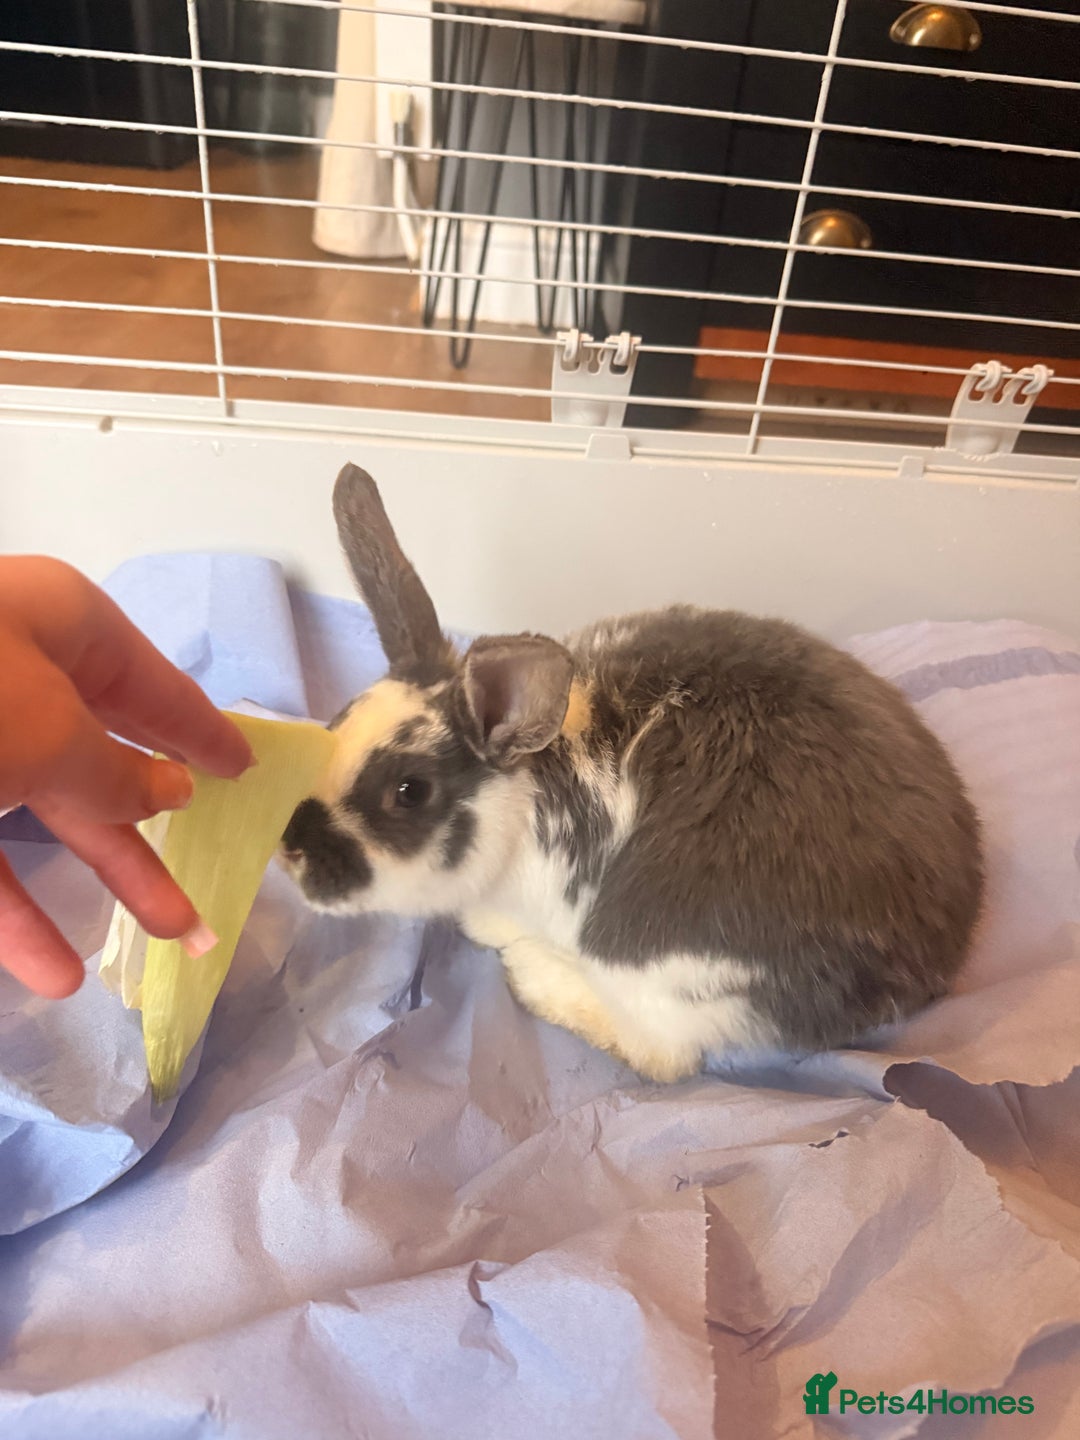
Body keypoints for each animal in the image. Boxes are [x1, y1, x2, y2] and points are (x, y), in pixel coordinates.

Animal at [281, 463, 984, 1083]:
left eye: (408, 792)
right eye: (335, 724)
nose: (291, 851)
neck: (526, 794)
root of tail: (930, 964)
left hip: (653, 964)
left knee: (662, 1057)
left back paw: (535, 975)